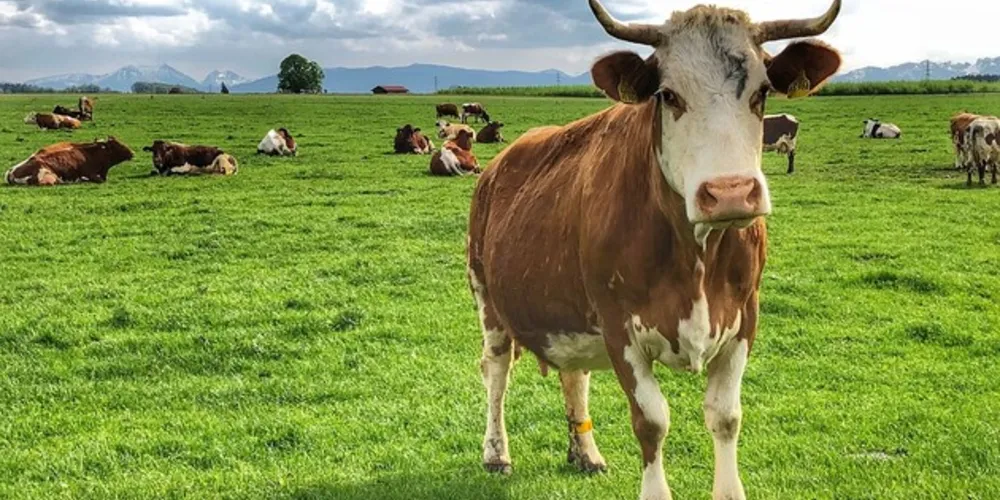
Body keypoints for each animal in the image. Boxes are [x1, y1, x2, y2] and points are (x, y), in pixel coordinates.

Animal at [466, 1, 842, 499]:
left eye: (762, 92)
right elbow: (651, 422)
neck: (697, 256)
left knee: (574, 374)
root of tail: (499, 165)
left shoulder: (745, 318)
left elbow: (725, 416)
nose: (730, 193)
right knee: (496, 369)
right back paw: (496, 454)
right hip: (487, 295)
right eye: (667, 95)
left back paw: (585, 452)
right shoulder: (618, 326)